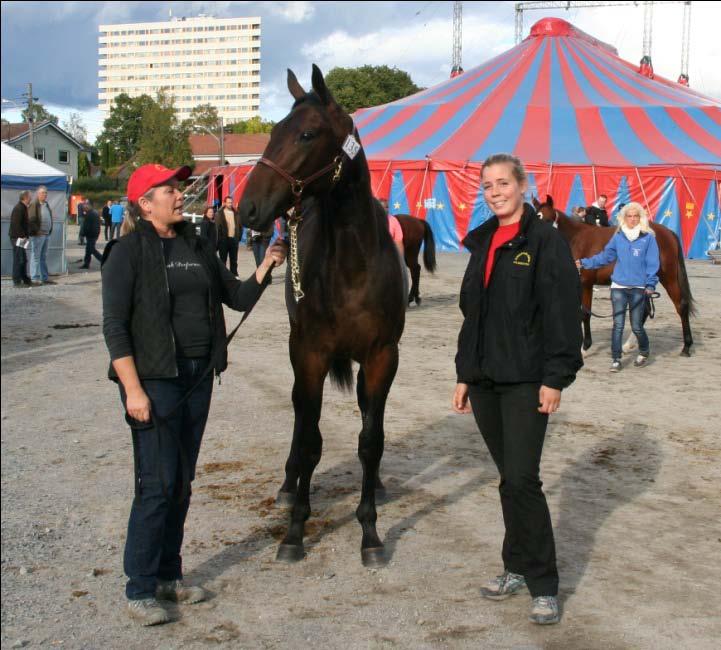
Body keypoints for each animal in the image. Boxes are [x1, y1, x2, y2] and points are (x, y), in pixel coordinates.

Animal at [236, 63, 404, 564]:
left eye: (307, 134)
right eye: (274, 130)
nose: (247, 207)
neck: (352, 266)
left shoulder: (382, 356)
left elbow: (371, 440)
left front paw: (370, 531)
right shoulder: (308, 354)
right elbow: (310, 439)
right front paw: (294, 530)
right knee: (299, 415)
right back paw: (290, 486)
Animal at [532, 195, 696, 354]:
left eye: (546, 220)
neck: (576, 240)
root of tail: (669, 233)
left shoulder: (586, 283)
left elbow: (585, 314)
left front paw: (585, 347)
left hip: (668, 277)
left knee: (681, 305)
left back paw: (686, 346)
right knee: (643, 311)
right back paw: (628, 345)